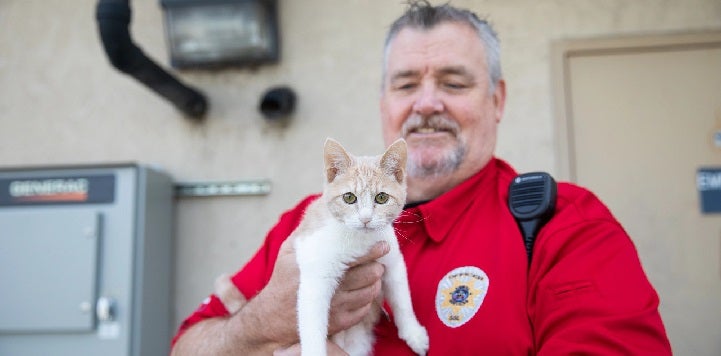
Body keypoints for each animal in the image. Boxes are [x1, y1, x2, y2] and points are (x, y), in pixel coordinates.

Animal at [292, 138, 428, 356]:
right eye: (349, 197)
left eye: (382, 197)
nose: (365, 218)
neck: (358, 240)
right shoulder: (315, 277)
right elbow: (312, 325)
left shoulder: (393, 263)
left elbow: (402, 301)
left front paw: (413, 333)